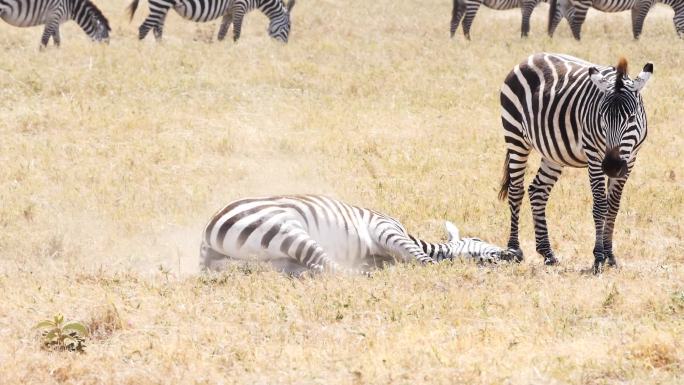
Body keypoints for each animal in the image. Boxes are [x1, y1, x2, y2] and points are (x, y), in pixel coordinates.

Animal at [128, 0, 294, 42]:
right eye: (289, 27)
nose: (283, 47)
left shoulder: (229, 11)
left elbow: (222, 33)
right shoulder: (239, 7)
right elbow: (236, 33)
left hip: (163, 7)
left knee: (157, 29)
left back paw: (161, 50)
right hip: (161, 4)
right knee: (144, 28)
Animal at [500, 52, 656, 272]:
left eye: (631, 118)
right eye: (602, 117)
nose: (611, 167)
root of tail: (531, 57)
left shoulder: (630, 159)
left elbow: (613, 207)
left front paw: (610, 256)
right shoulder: (594, 157)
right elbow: (600, 206)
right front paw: (598, 257)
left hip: (553, 152)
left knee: (538, 191)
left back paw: (547, 253)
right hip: (515, 136)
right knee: (516, 190)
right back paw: (514, 249)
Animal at [548, 0, 684, 39]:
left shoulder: (637, 7)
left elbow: (635, 26)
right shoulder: (643, 4)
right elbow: (638, 27)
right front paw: (638, 45)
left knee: (556, 18)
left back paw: (550, 40)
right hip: (582, 3)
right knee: (576, 23)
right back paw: (579, 43)